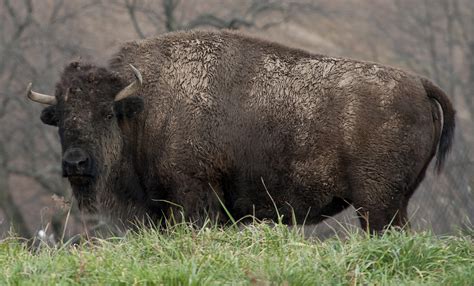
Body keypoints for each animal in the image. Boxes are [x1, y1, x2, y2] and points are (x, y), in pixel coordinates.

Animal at [26, 30, 456, 233]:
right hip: (394, 202)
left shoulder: (193, 197)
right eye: (61, 116)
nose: (75, 162)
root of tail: (418, 83)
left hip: (377, 205)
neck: (144, 109)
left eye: (105, 113)